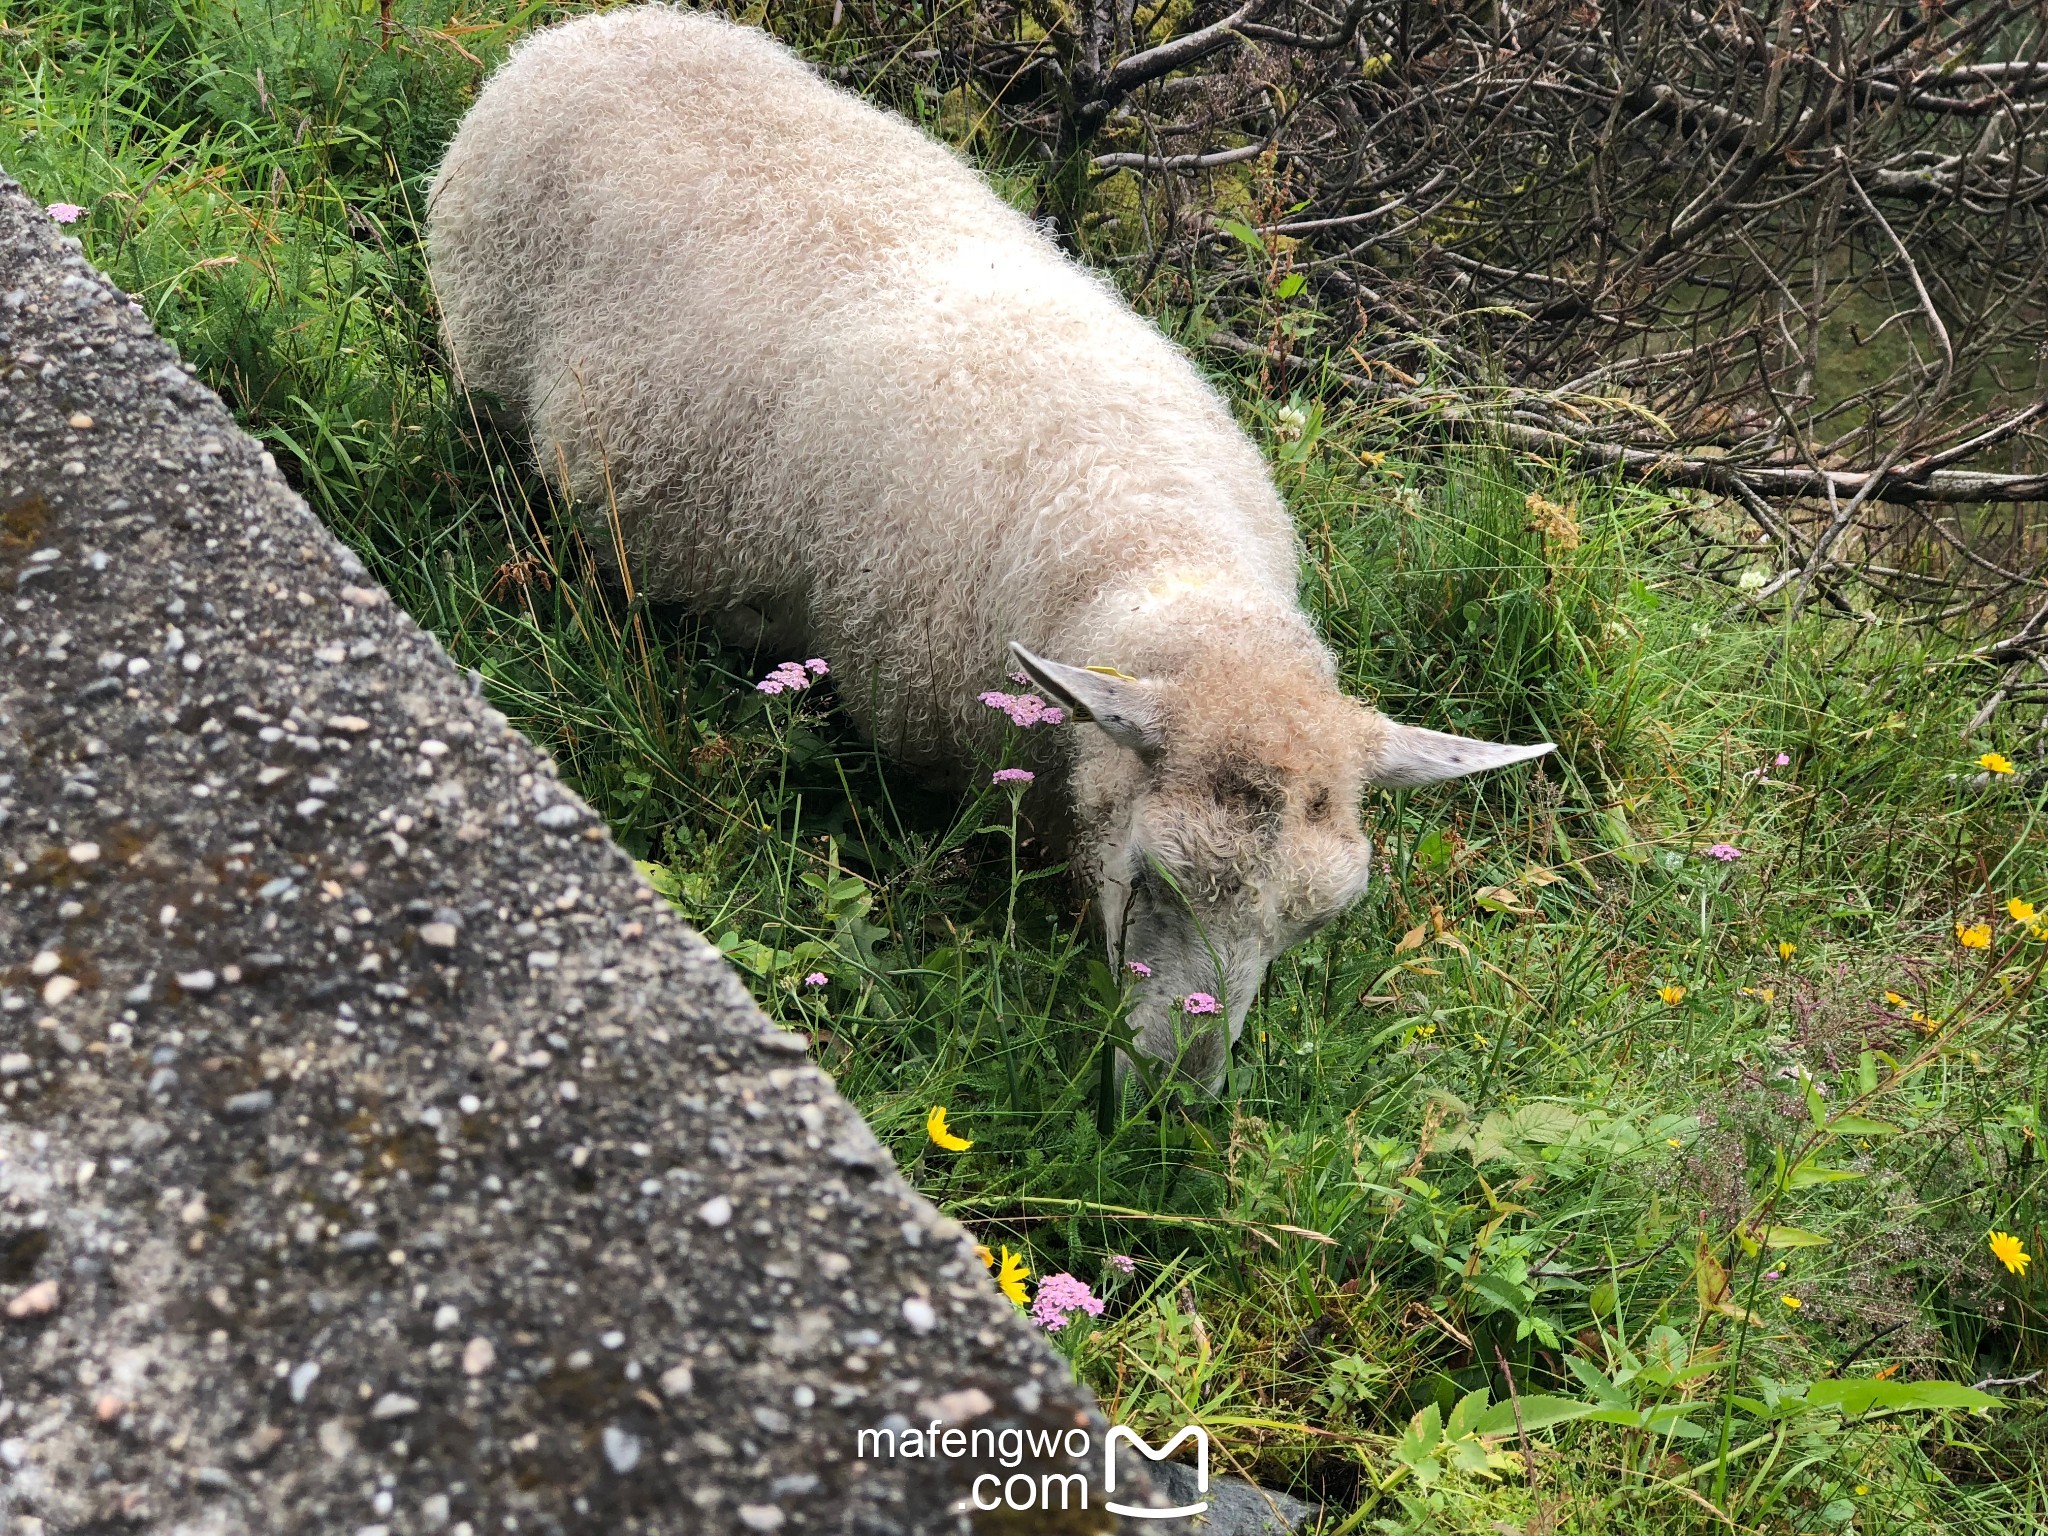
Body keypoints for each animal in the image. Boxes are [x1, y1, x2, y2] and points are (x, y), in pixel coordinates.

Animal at [432, 6, 1548, 1089]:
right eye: (1154, 876)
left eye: (1312, 924)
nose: (1175, 1104)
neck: (1150, 542)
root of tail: (588, 28)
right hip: (484, 353)